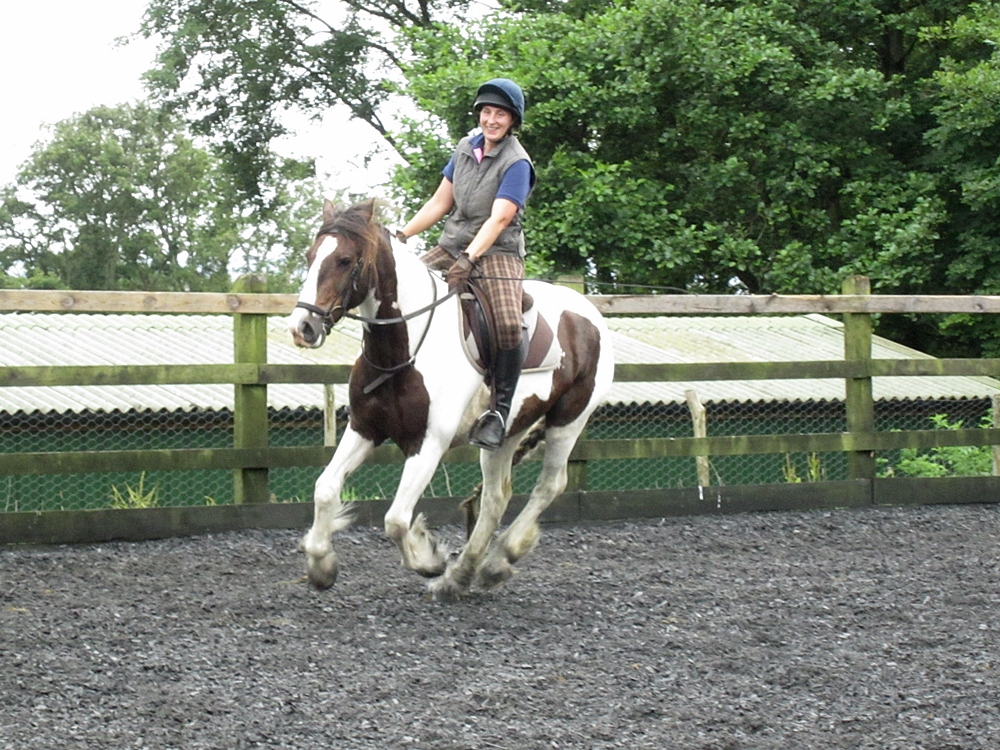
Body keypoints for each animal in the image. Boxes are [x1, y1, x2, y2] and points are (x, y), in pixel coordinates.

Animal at [287, 198, 614, 601]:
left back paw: (496, 561)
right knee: (495, 499)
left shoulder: (428, 443)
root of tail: (589, 312)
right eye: (310, 256)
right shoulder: (365, 428)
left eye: (345, 260)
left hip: (568, 421)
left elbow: (396, 520)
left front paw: (429, 559)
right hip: (506, 433)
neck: (403, 349)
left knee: (549, 485)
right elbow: (325, 489)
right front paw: (321, 565)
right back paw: (463, 574)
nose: (302, 328)